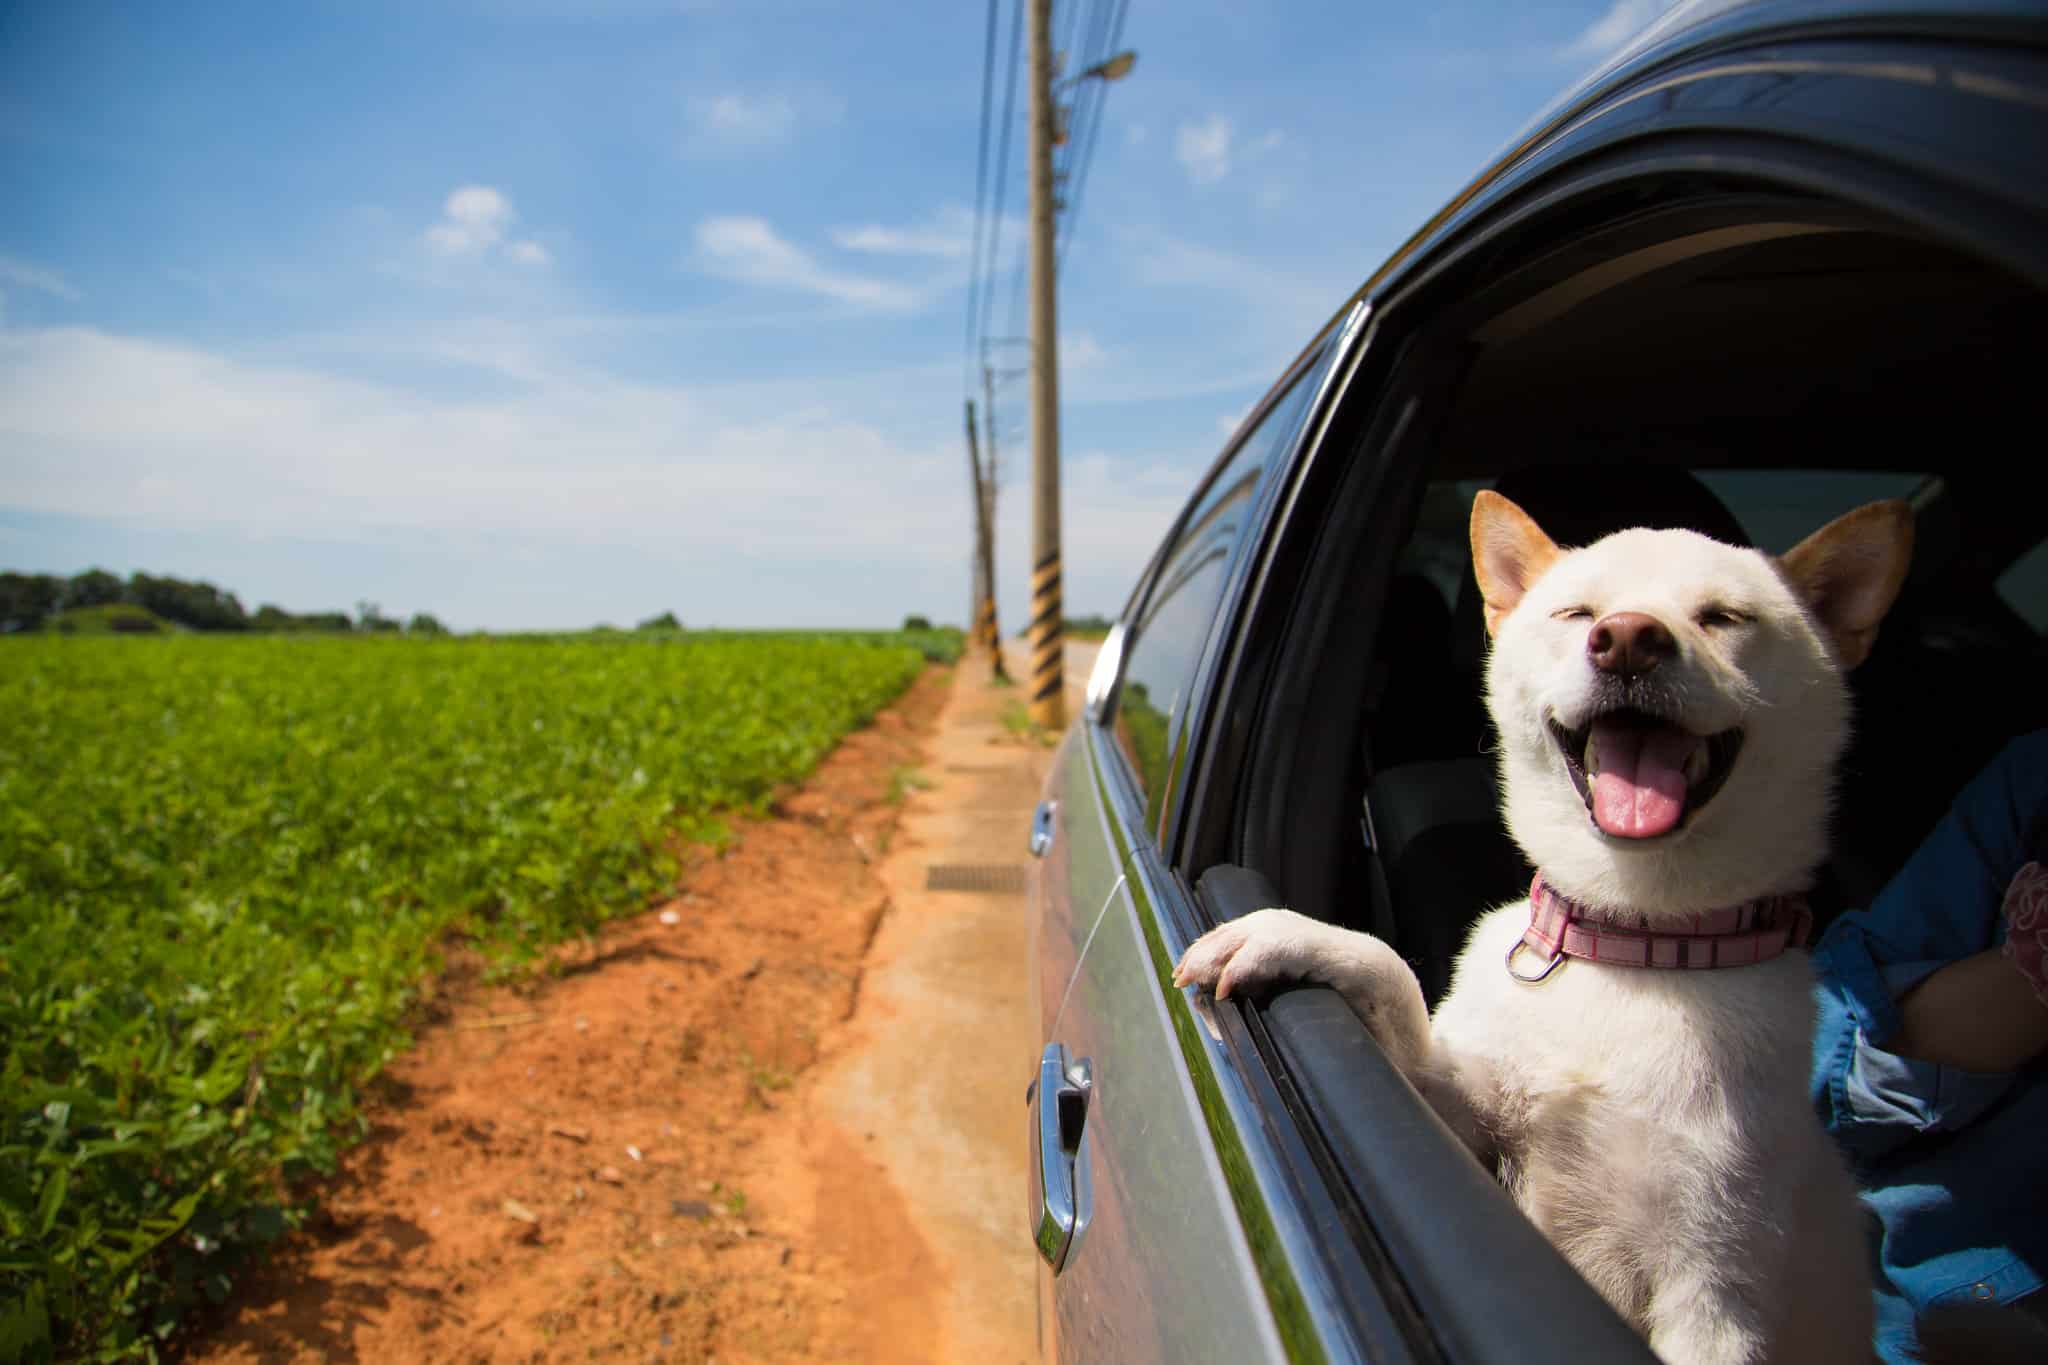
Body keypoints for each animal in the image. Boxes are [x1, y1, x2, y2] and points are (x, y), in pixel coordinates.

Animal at [1179, 491, 1908, 1365]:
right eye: (1578, 613)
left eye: (1724, 617)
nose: (1629, 637)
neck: (1633, 945)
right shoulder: (1458, 1112)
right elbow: (1391, 973)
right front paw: (1286, 933)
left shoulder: (1716, 1298)